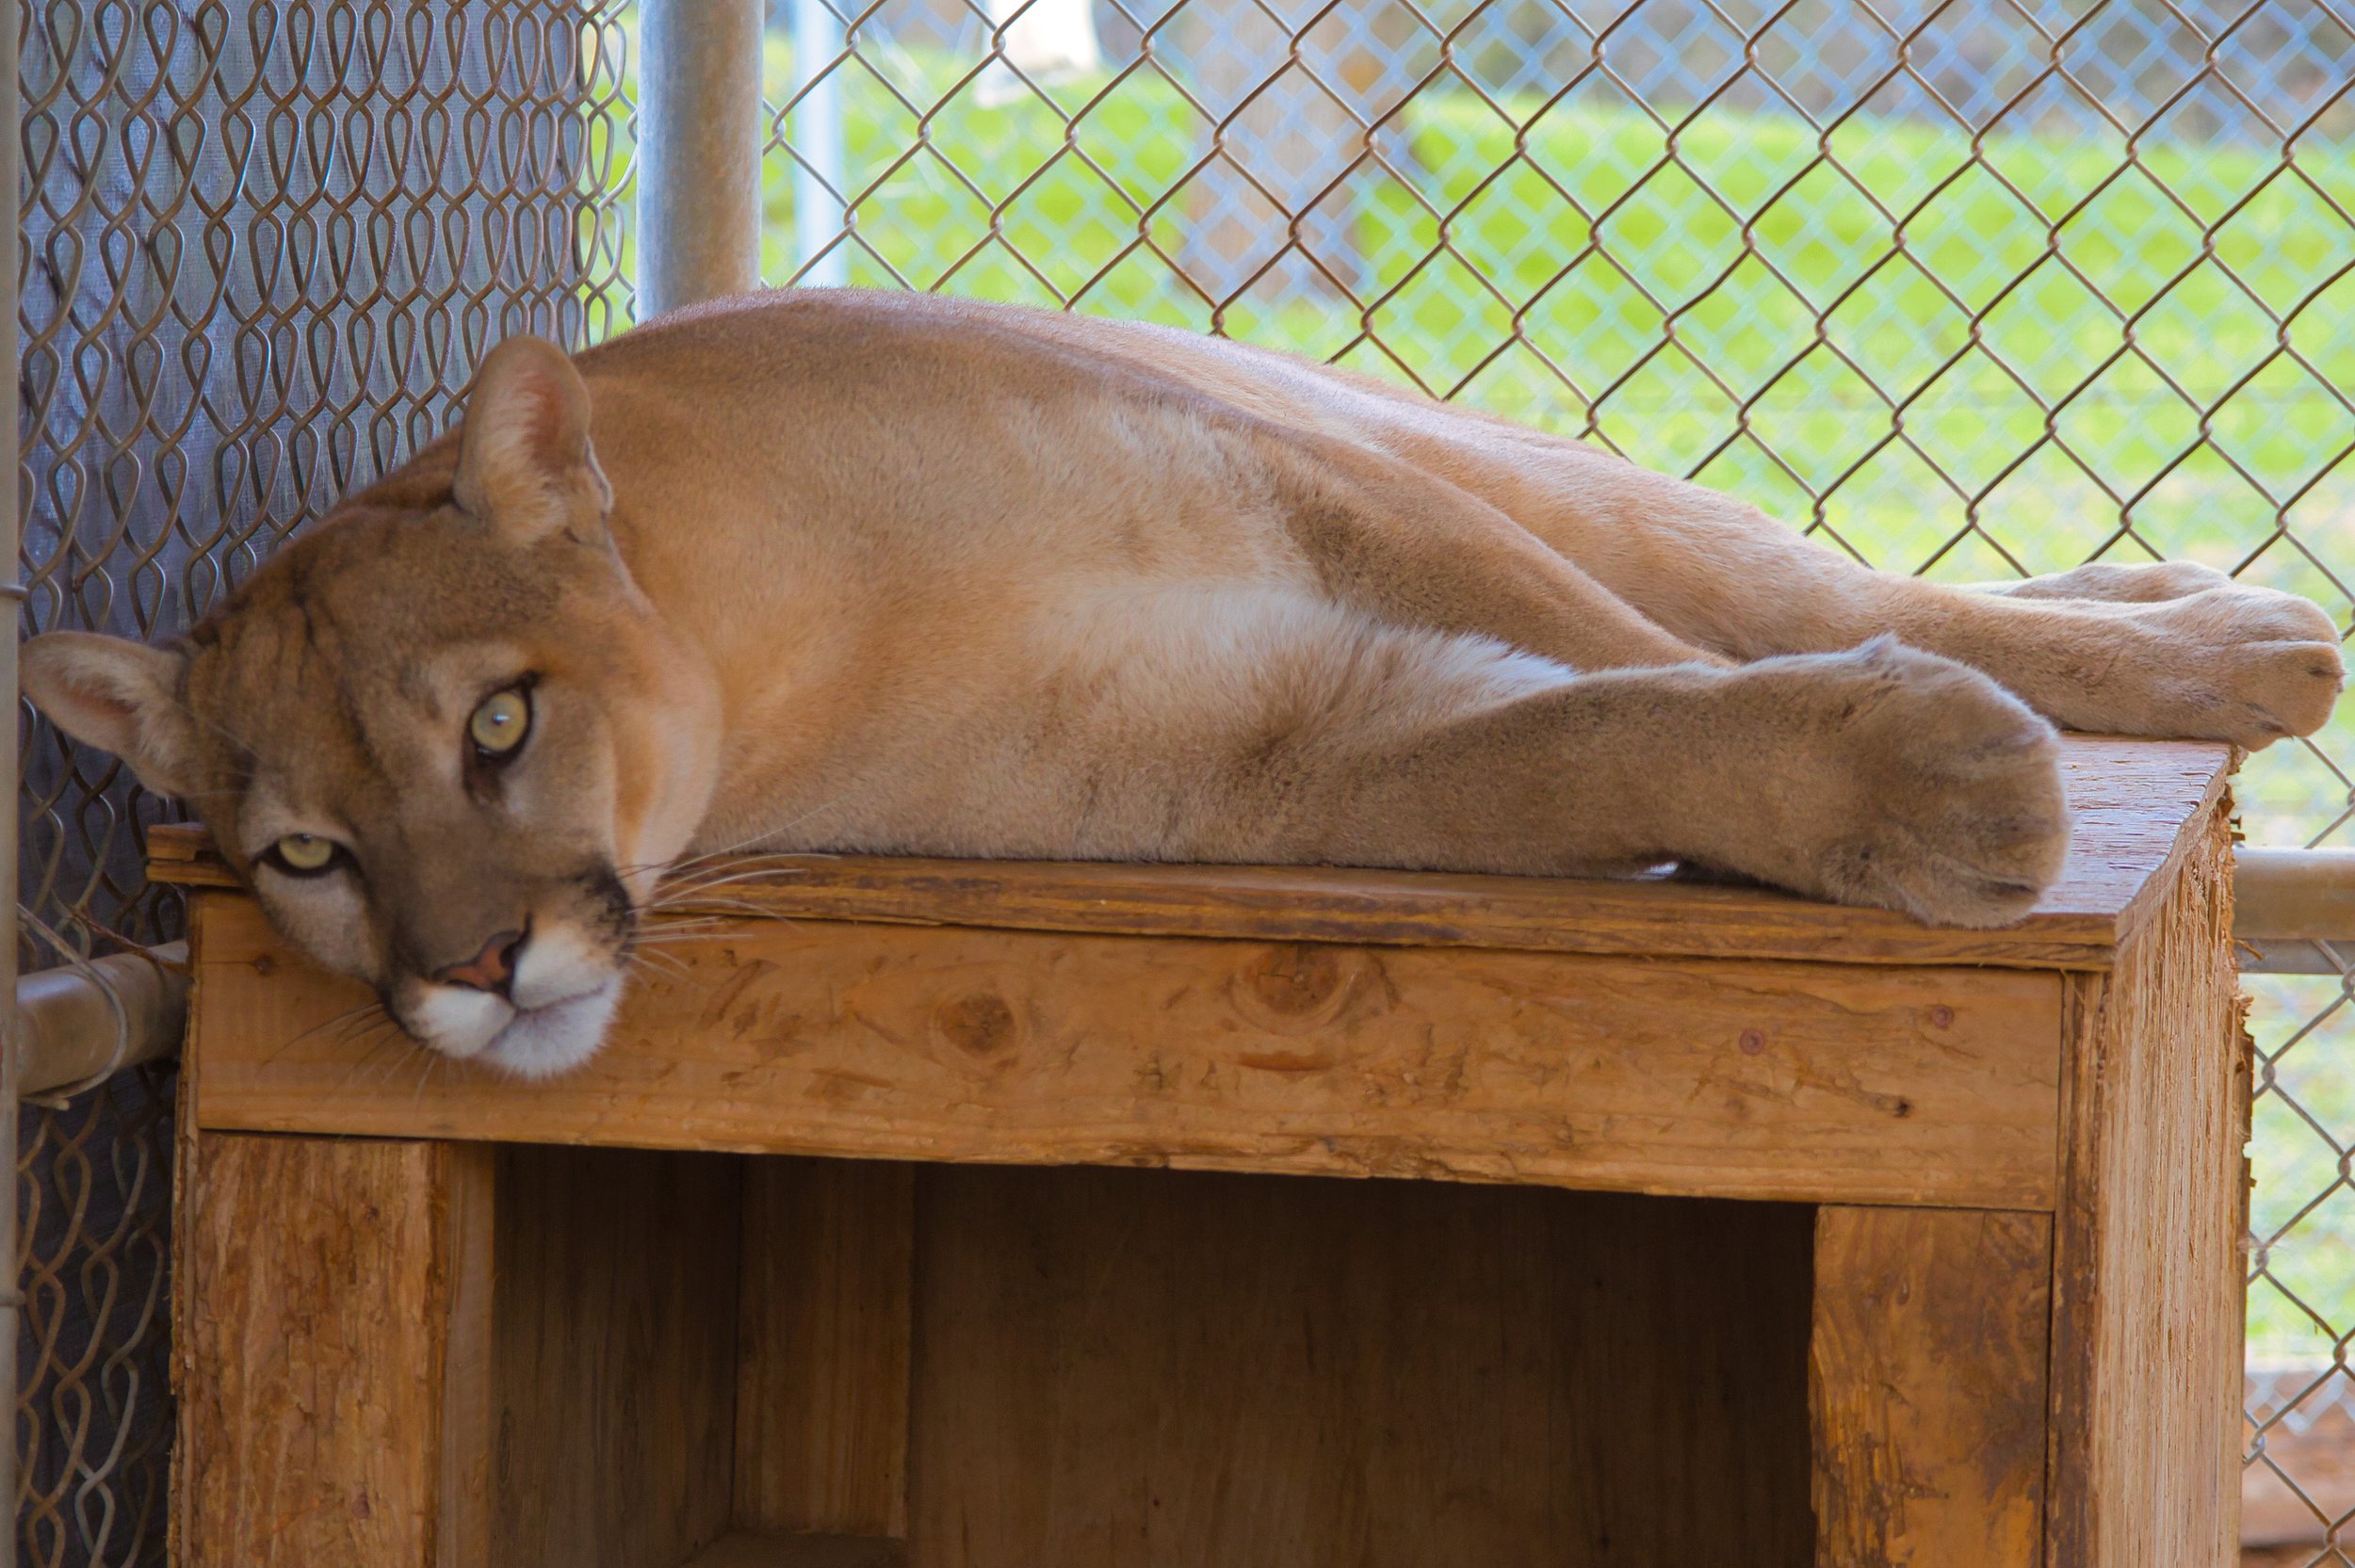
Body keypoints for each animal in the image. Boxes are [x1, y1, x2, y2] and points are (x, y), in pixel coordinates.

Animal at [13, 289, 2336, 1074]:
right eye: (305, 856)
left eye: (497, 720)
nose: (477, 971)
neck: (786, 651)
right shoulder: (1266, 751)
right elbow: (1562, 734)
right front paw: (1896, 786)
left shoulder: (1317, 481)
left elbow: (1639, 650)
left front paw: (1919, 764)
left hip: (1469, 440)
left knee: (1769, 567)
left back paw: (2219, 638)